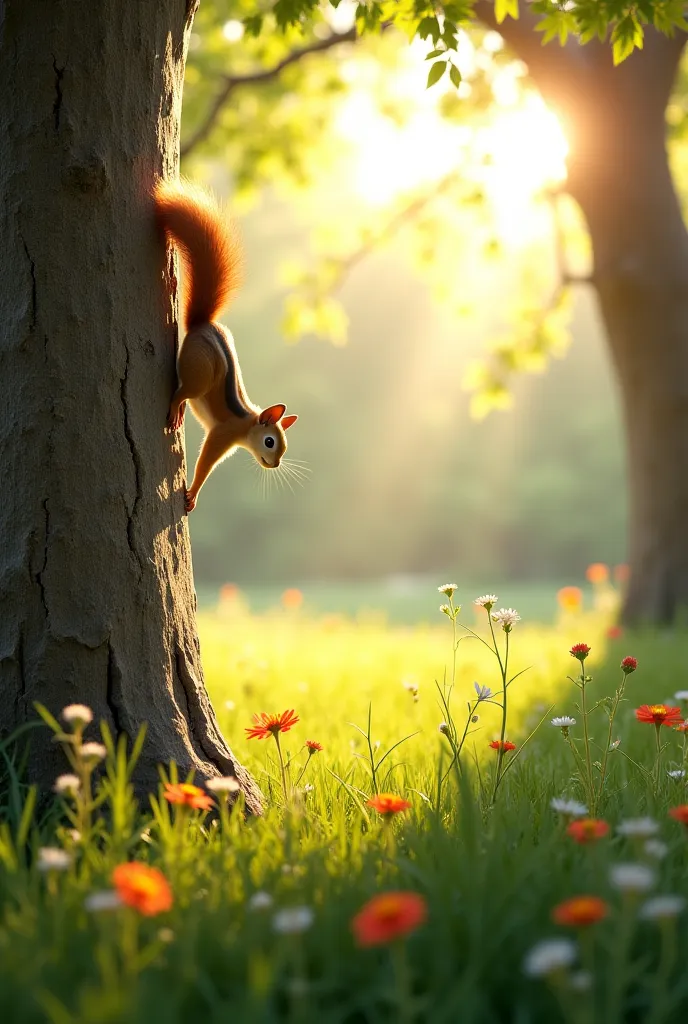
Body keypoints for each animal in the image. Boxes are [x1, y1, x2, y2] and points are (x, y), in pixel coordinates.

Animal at [154, 179, 296, 512]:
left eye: (284, 446)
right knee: (182, 392)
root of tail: (202, 323)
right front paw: (192, 494)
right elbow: (205, 463)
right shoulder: (221, 435)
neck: (245, 423)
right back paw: (176, 408)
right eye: (270, 442)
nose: (274, 464)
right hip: (199, 374)